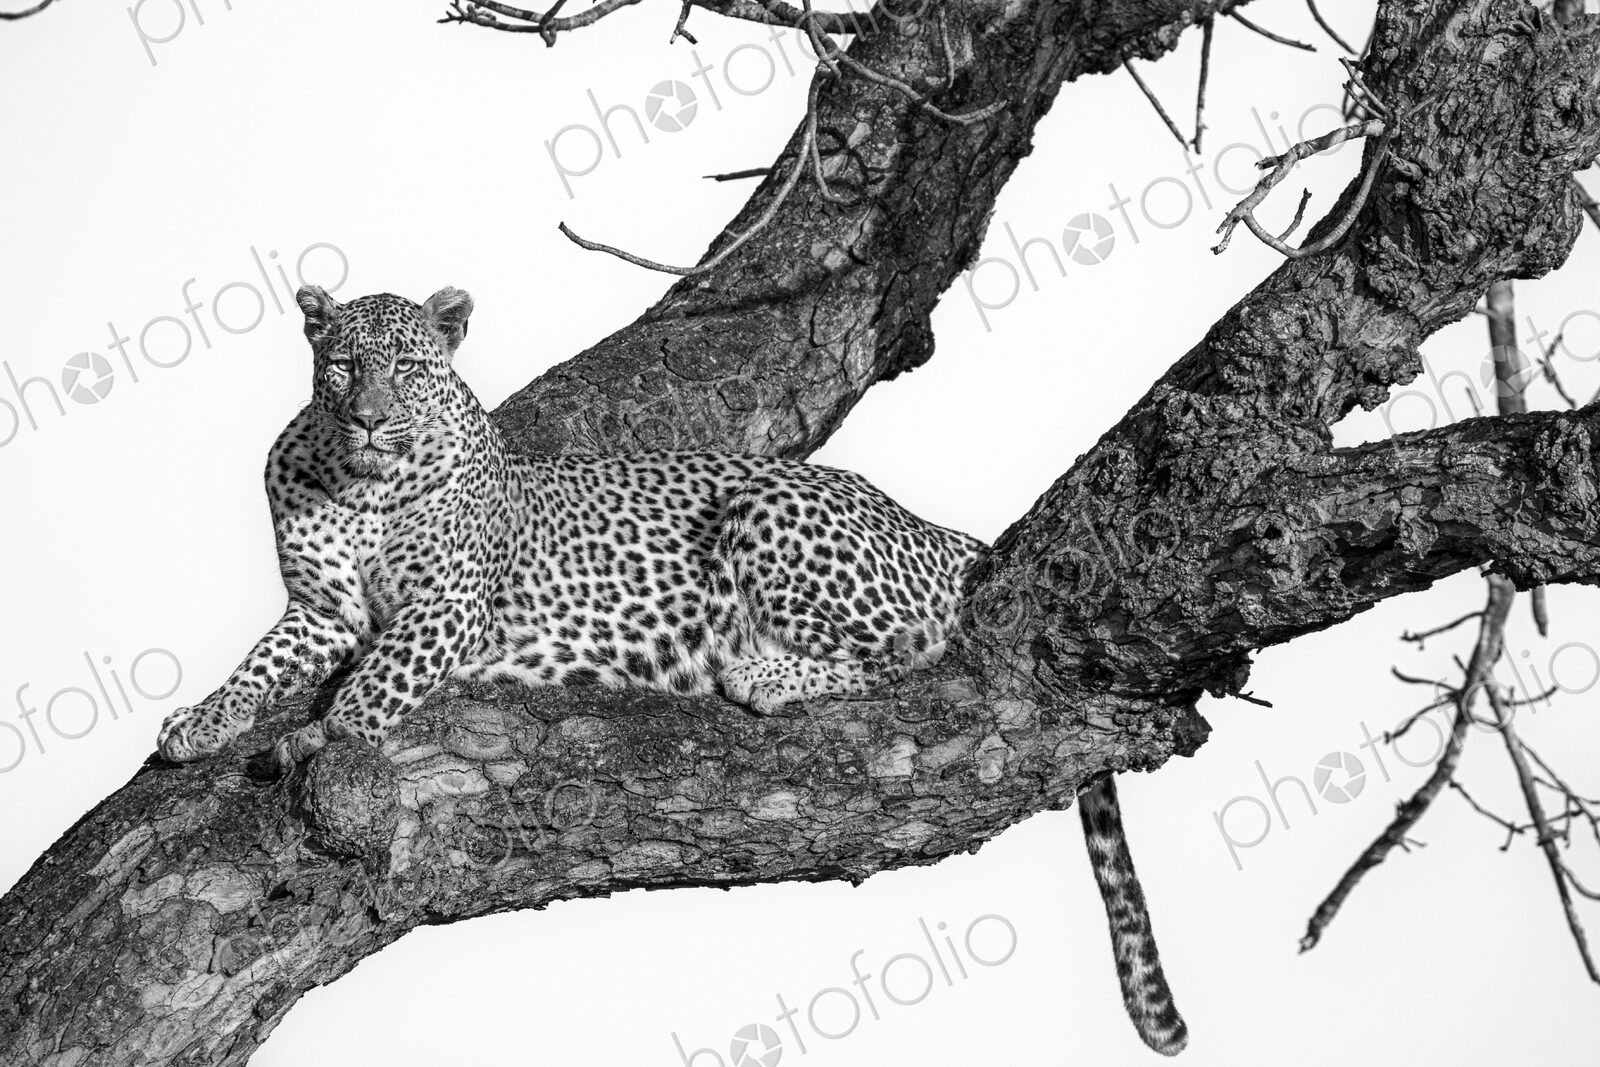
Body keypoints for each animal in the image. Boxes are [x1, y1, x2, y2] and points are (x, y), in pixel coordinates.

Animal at [154, 286, 1186, 1056]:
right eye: (343, 367)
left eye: (407, 369)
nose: (370, 420)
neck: (360, 484)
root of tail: (934, 526)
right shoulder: (320, 613)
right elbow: (255, 665)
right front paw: (195, 723)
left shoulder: (444, 610)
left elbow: (375, 684)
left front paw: (320, 735)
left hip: (771, 508)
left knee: (917, 652)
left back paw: (762, 673)